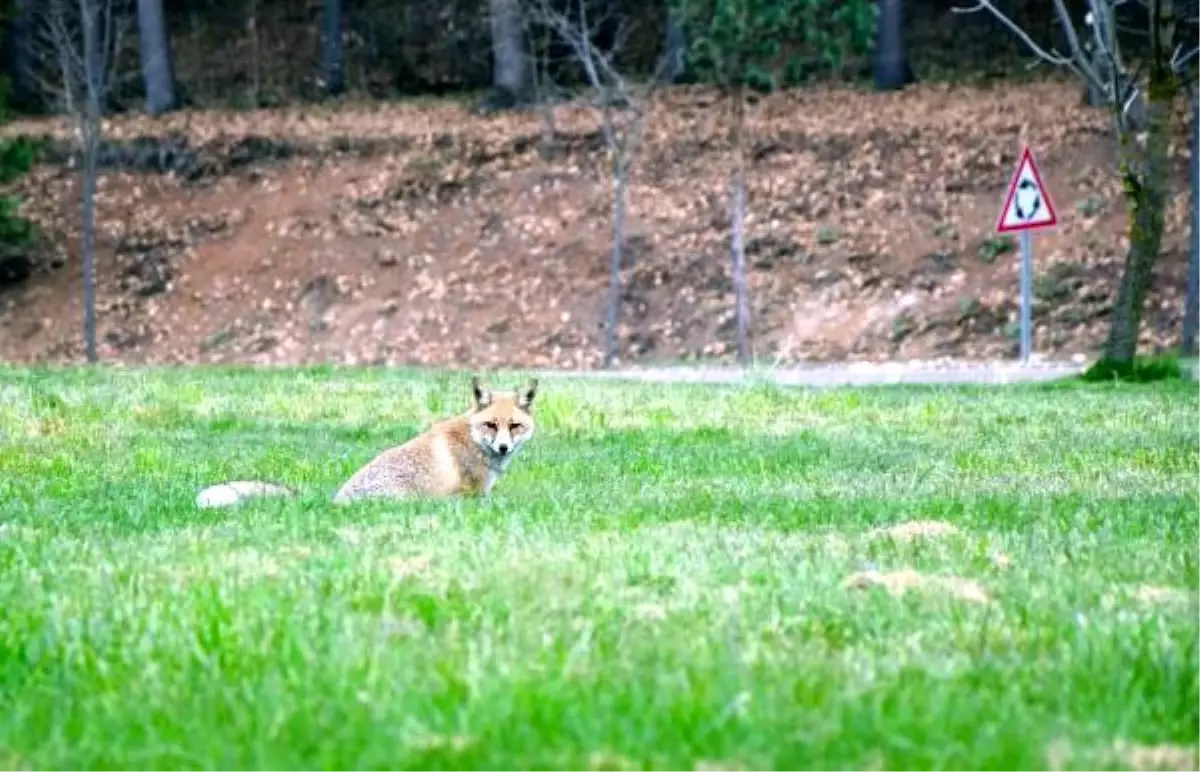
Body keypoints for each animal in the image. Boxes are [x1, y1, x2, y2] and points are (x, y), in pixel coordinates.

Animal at [194, 376, 542, 511]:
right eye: (490, 425)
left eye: (514, 426)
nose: (503, 447)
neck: (473, 439)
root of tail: (336, 502)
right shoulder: (474, 495)